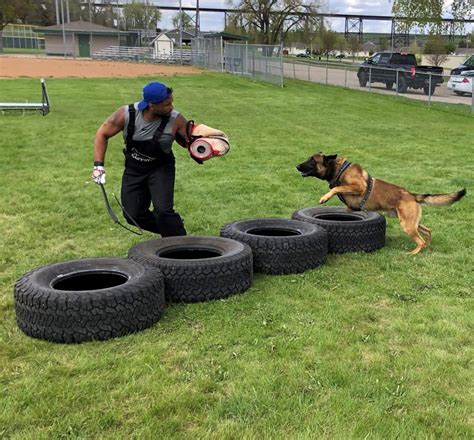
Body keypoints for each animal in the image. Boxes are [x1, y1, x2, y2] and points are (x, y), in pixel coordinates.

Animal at [296, 153, 466, 254]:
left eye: (313, 160)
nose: (297, 166)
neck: (339, 169)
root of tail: (412, 195)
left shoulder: (359, 186)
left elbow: (337, 187)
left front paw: (325, 197)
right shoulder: (350, 207)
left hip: (407, 224)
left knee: (421, 241)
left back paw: (413, 253)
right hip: (412, 222)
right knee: (428, 231)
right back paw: (429, 245)